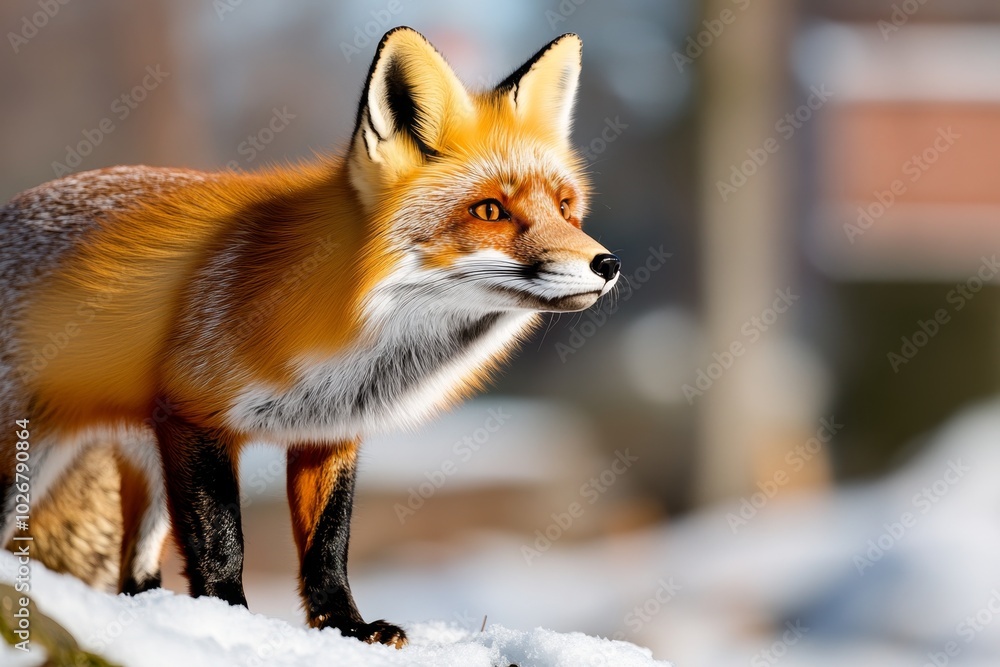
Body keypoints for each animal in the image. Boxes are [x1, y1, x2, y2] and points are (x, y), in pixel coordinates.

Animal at [0, 27, 620, 647]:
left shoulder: (329, 431)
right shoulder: (194, 414)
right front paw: (230, 620)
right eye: (490, 210)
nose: (607, 264)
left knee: (134, 574)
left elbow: (329, 546)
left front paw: (346, 627)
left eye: (565, 207)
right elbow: (222, 544)